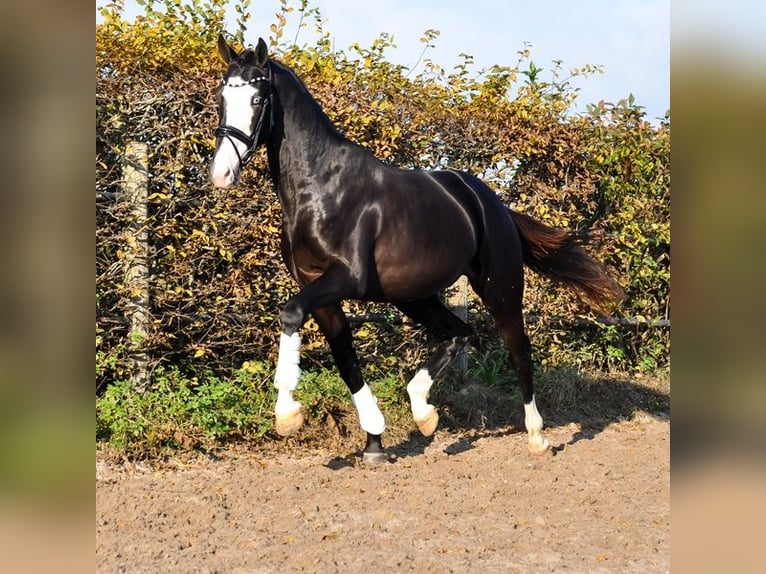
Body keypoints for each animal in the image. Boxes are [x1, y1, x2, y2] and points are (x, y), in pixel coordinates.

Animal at [210, 35, 624, 464]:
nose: (221, 174)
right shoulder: (319, 289)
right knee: (459, 332)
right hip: (413, 295)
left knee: (518, 350)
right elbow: (346, 361)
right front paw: (374, 441)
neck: (321, 187)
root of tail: (490, 202)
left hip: (500, 288)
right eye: (221, 97)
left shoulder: (346, 278)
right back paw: (424, 411)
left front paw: (287, 414)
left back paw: (536, 435)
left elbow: (291, 313)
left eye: (257, 98)